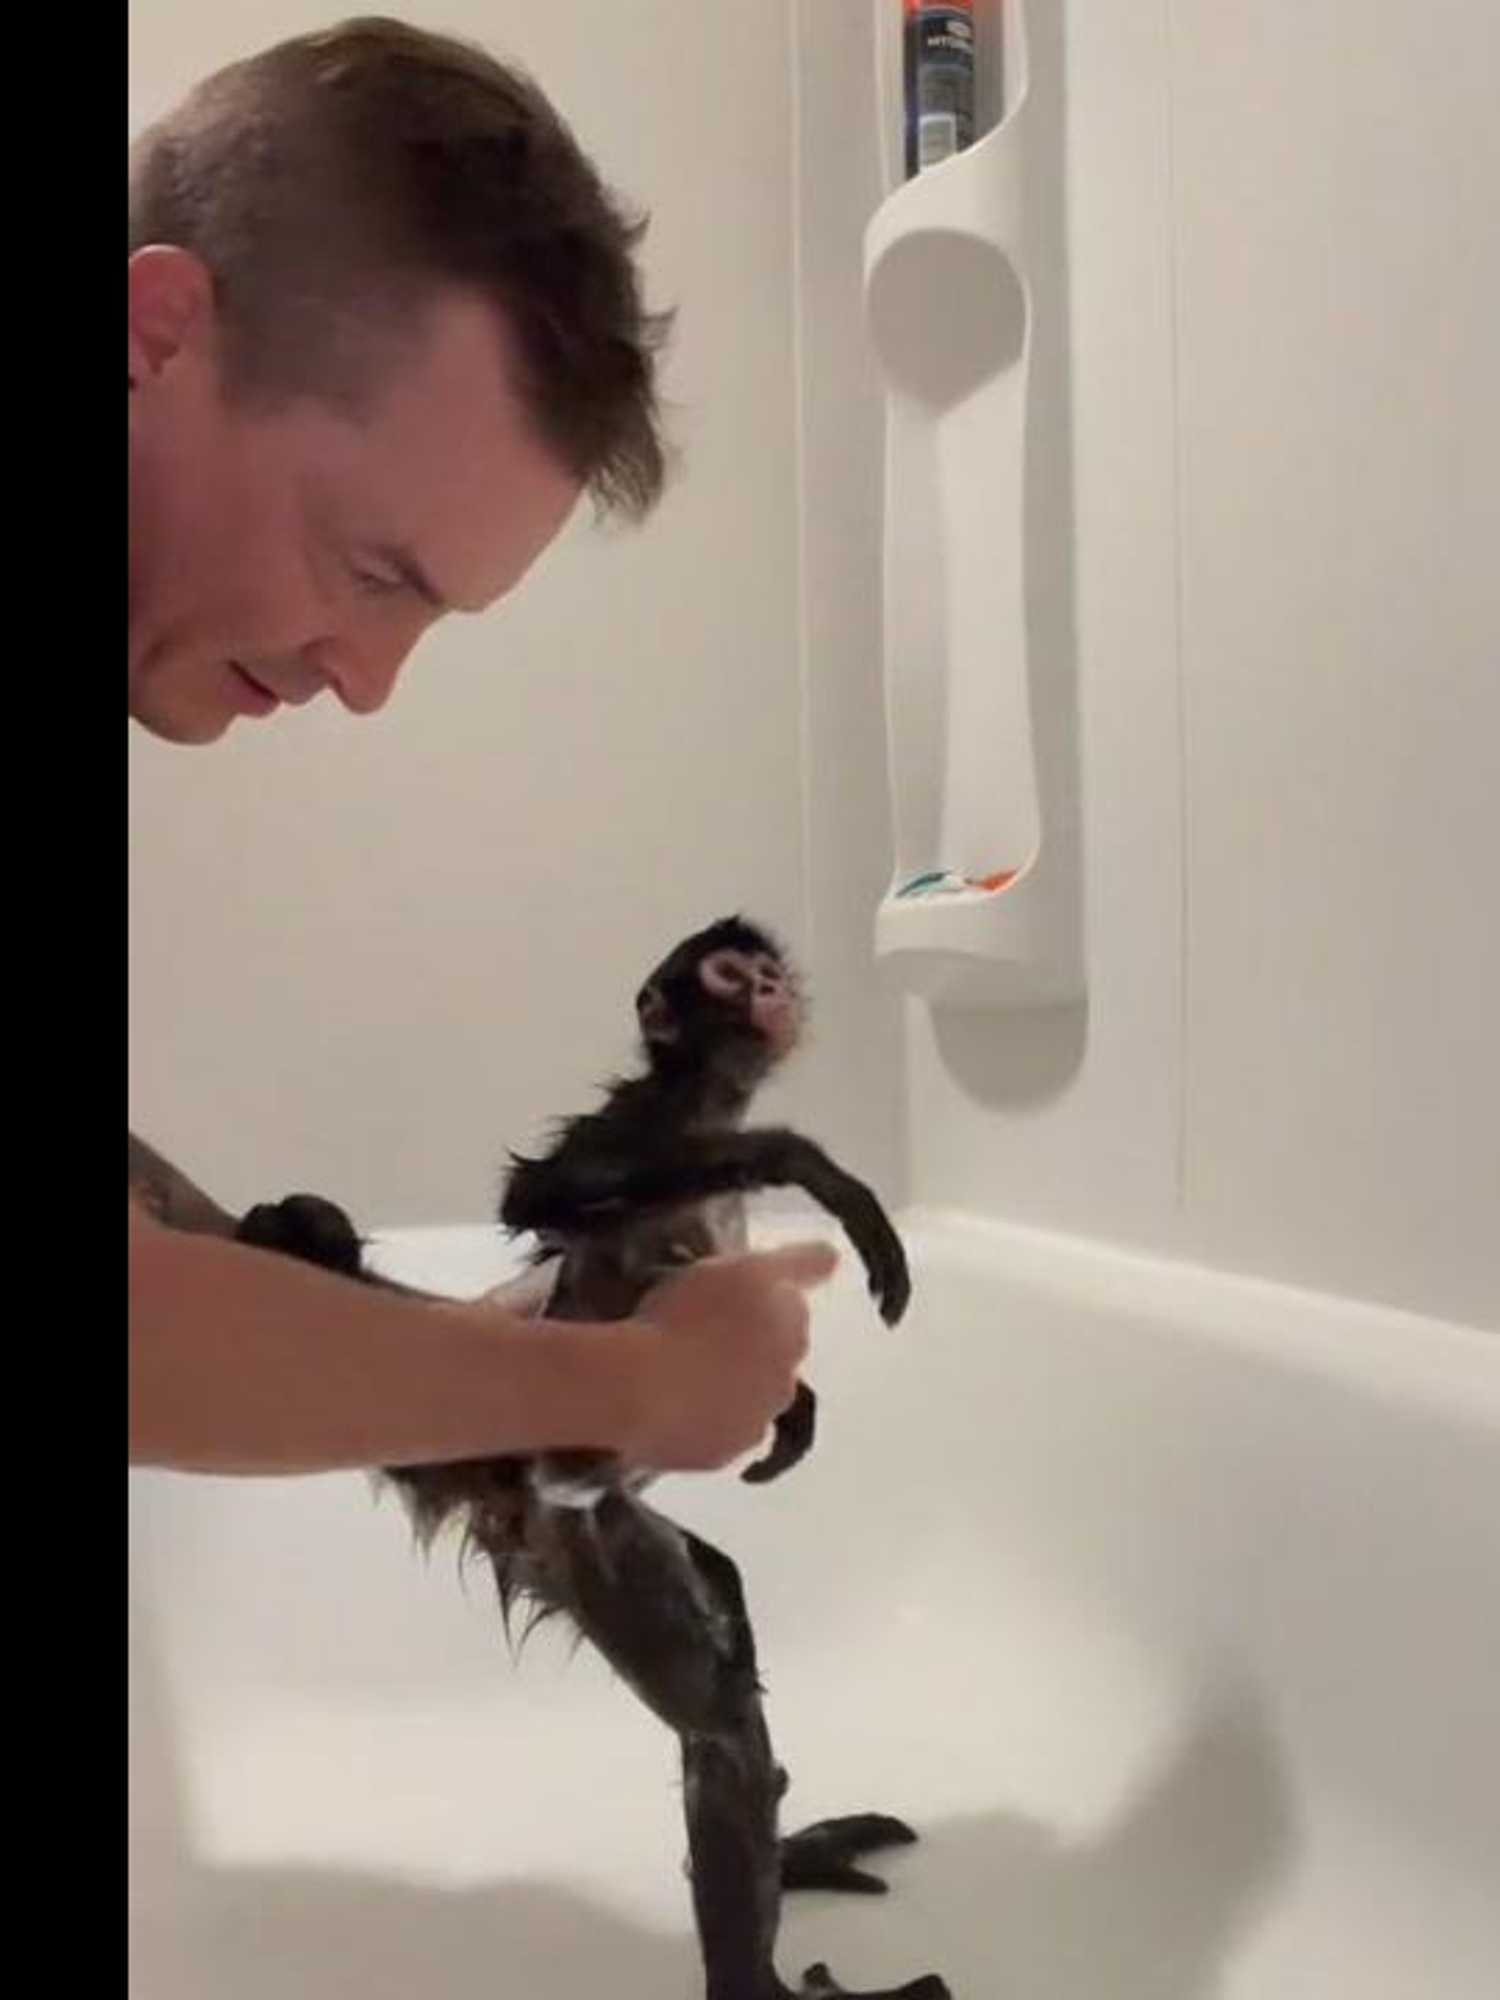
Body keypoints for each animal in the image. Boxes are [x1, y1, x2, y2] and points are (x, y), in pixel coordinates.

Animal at [234, 916, 951, 2000]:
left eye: (764, 969)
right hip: (571, 1530)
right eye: (728, 976)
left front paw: (795, 1409)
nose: (771, 992)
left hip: (596, 1531)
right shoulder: (634, 1122)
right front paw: (812, 1168)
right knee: (717, 1729)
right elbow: (544, 1187)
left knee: (726, 1638)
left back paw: (790, 1858)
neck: (704, 1109)